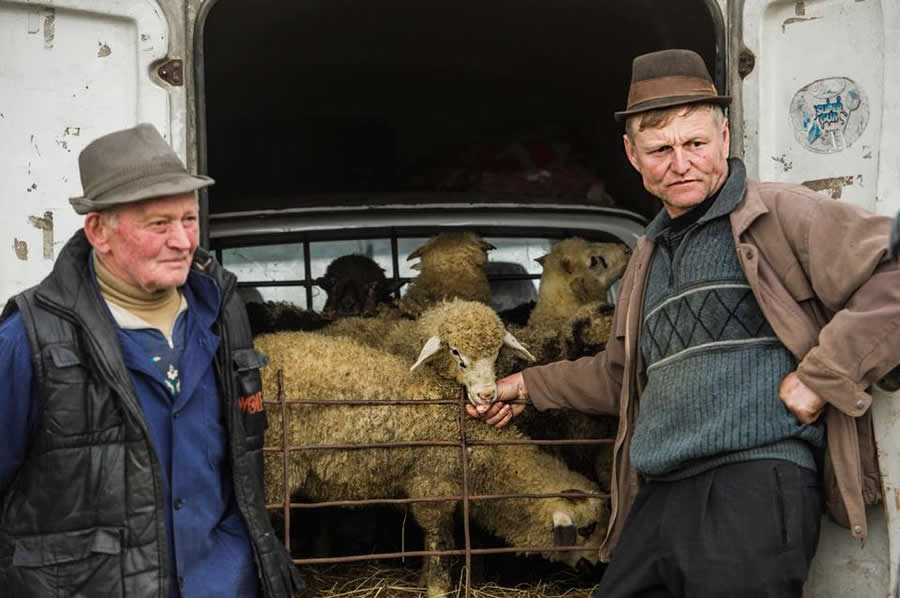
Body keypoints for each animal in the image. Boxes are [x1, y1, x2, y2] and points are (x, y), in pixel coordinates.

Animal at [256, 332, 608, 598]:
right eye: (586, 529)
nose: (600, 565)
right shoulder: (433, 484)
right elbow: (440, 543)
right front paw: (437, 588)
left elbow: (437, 541)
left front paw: (424, 581)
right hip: (272, 469)